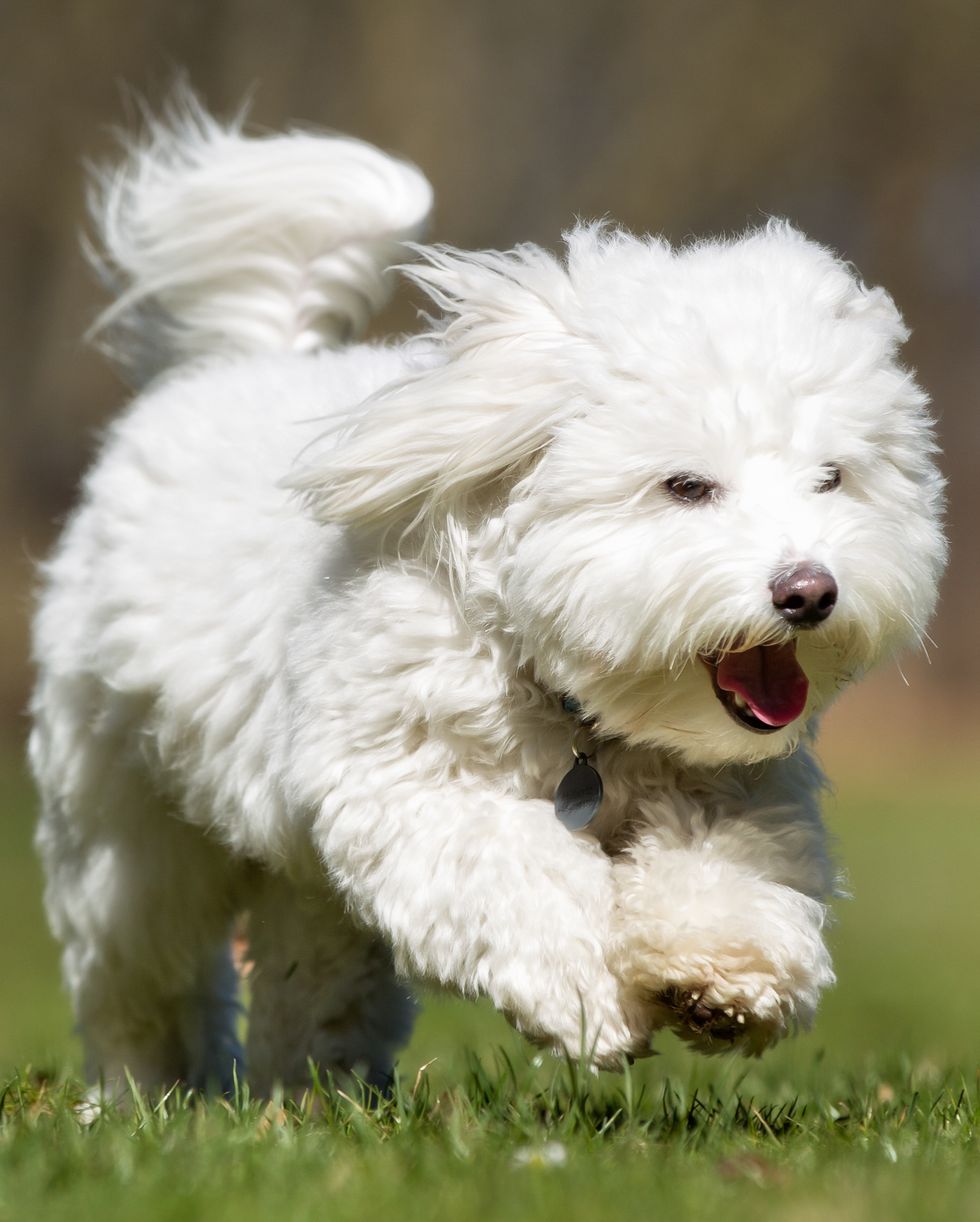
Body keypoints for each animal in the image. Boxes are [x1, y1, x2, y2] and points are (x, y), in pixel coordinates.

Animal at [30, 100, 943, 1094]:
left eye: (833, 478)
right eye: (686, 486)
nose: (808, 590)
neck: (577, 709)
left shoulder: (735, 791)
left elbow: (730, 870)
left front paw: (723, 971)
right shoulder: (410, 784)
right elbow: (516, 877)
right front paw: (589, 994)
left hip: (299, 879)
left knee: (312, 969)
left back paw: (314, 1088)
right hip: (126, 828)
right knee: (140, 973)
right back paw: (144, 1090)